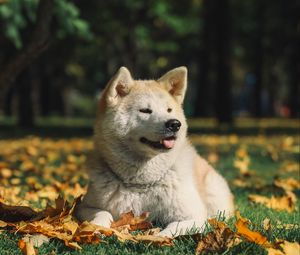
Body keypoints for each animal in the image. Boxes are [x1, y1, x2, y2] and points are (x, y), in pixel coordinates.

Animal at [75, 66, 234, 237]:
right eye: (145, 110)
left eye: (169, 110)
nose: (174, 124)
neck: (141, 183)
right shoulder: (84, 207)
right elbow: (102, 213)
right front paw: (97, 228)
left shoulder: (194, 217)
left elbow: (173, 227)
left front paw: (158, 238)